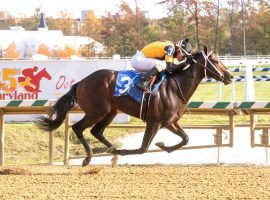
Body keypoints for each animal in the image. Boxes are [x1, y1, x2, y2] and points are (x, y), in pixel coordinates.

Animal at [36, 46, 234, 166]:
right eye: (216, 61)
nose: (230, 76)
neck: (175, 87)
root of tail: (82, 82)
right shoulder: (154, 122)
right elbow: (143, 148)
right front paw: (127, 150)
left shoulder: (170, 122)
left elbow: (185, 139)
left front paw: (164, 145)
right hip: (96, 111)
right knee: (78, 128)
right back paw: (89, 158)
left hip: (110, 112)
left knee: (96, 131)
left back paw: (113, 150)